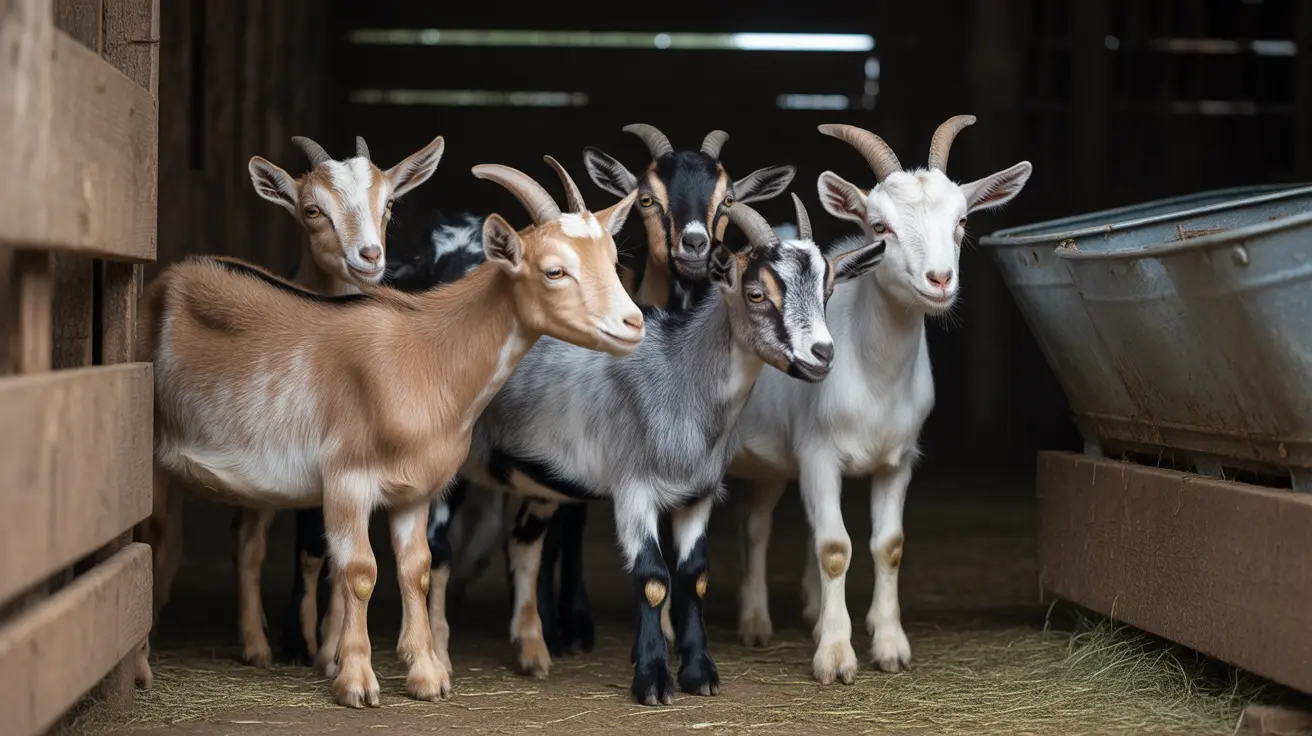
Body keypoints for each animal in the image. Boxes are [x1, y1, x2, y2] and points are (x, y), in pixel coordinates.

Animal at [133, 157, 645, 708]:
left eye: (613, 259)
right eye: (554, 270)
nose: (633, 323)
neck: (423, 355)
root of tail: (167, 280)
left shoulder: (416, 490)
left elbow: (415, 568)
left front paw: (427, 676)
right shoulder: (346, 481)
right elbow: (361, 571)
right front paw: (356, 680)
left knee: (222, 543)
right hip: (151, 460)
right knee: (153, 542)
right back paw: (141, 667)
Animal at [458, 196, 887, 704]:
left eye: (828, 292)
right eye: (756, 294)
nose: (822, 354)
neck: (679, 379)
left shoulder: (696, 494)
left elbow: (693, 576)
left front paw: (700, 673)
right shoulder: (633, 490)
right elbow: (652, 579)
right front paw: (652, 680)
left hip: (540, 480)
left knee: (524, 543)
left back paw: (532, 650)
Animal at [729, 117, 1033, 685]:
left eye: (962, 220)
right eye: (879, 226)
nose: (940, 279)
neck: (875, 376)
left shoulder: (898, 460)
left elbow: (886, 546)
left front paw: (889, 644)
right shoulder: (817, 454)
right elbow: (834, 548)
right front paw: (834, 657)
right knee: (755, 527)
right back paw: (755, 622)